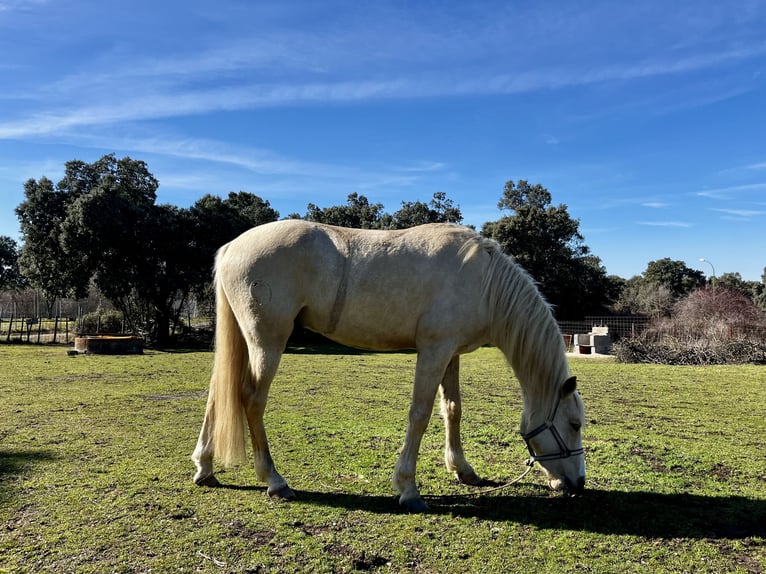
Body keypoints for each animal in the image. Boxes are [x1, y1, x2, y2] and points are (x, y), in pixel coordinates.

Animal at [192, 220, 588, 512]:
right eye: (574, 424)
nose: (579, 484)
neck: (484, 282)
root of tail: (232, 247)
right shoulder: (433, 351)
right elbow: (421, 414)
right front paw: (408, 488)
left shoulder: (451, 353)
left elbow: (453, 410)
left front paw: (462, 469)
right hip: (267, 342)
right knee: (251, 399)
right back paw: (274, 480)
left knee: (218, 394)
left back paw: (205, 467)